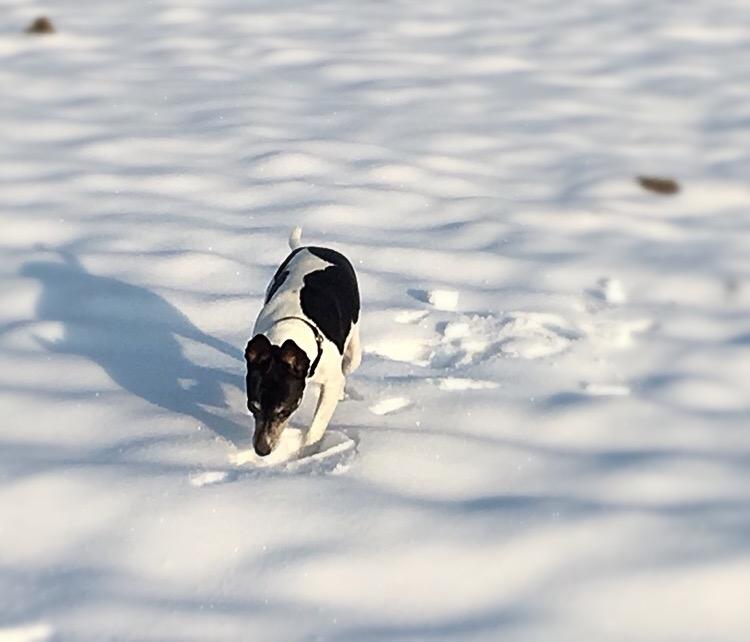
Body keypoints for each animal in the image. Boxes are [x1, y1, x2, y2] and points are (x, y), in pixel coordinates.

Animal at [245, 226, 362, 456]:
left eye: (284, 411)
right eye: (253, 407)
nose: (262, 450)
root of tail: (312, 246)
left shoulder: (332, 382)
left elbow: (317, 425)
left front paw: (309, 451)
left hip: (354, 341)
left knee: (351, 362)